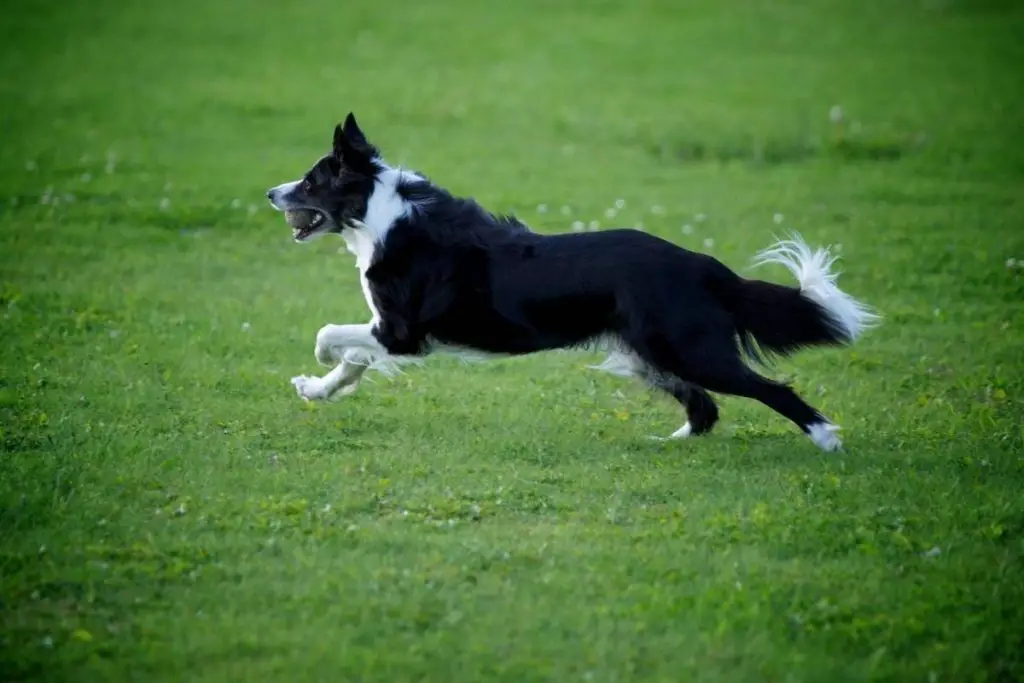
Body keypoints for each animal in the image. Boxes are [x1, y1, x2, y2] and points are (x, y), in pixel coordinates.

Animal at [266, 114, 880, 450]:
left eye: (313, 180)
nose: (271, 193)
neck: (381, 213)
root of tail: (701, 263)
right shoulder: (391, 331)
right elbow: (353, 360)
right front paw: (317, 390)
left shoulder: (401, 330)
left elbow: (330, 336)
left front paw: (317, 369)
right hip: (648, 352)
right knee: (704, 408)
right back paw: (670, 445)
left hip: (688, 348)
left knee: (770, 390)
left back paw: (827, 439)